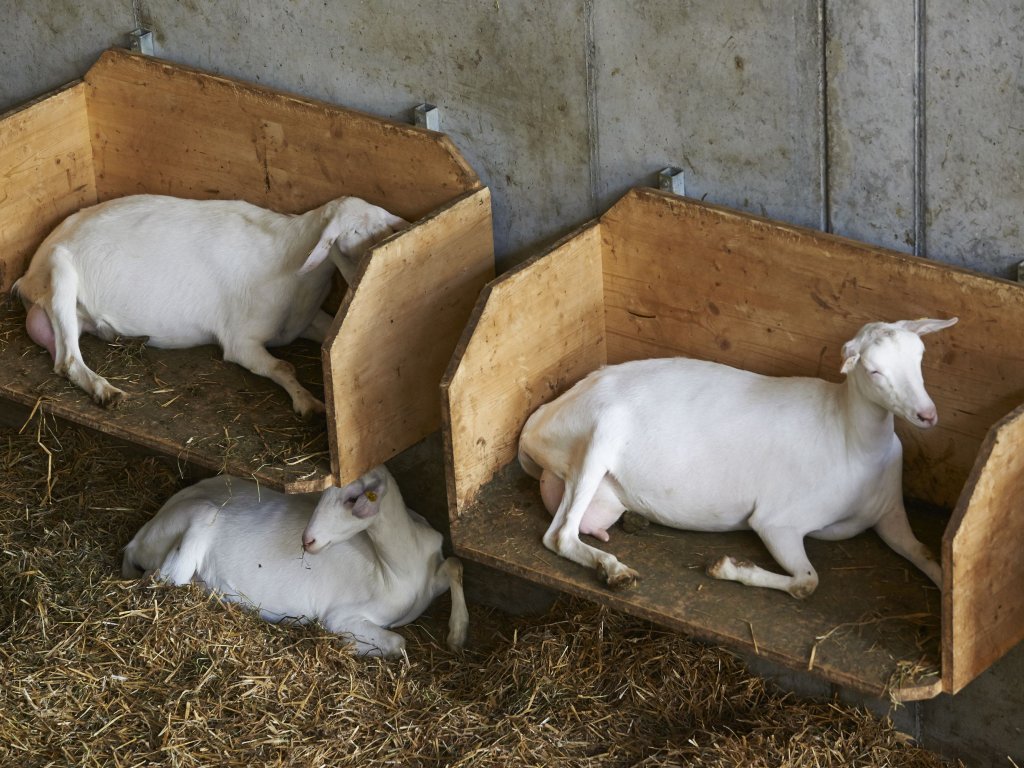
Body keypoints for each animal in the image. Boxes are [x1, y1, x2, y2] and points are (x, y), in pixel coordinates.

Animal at [12, 195, 407, 417]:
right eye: (351, 237)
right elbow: (281, 367)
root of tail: (29, 274)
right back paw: (106, 391)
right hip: (60, 272)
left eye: (385, 224)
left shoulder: (303, 322)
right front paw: (307, 403)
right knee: (66, 361)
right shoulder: (240, 340)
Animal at [122, 466, 468, 659]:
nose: (308, 539)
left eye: (352, 499)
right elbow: (399, 643)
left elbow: (454, 564)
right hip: (198, 520)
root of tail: (140, 534)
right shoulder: (342, 617)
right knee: (162, 578)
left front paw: (457, 633)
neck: (398, 566)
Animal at [520, 315, 958, 598]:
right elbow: (807, 582)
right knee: (559, 536)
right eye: (873, 371)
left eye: (919, 356)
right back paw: (616, 571)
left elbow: (927, 555)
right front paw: (729, 567)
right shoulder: (779, 521)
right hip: (596, 438)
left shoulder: (890, 515)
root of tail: (539, 420)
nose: (927, 414)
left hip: (594, 487)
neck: (850, 436)